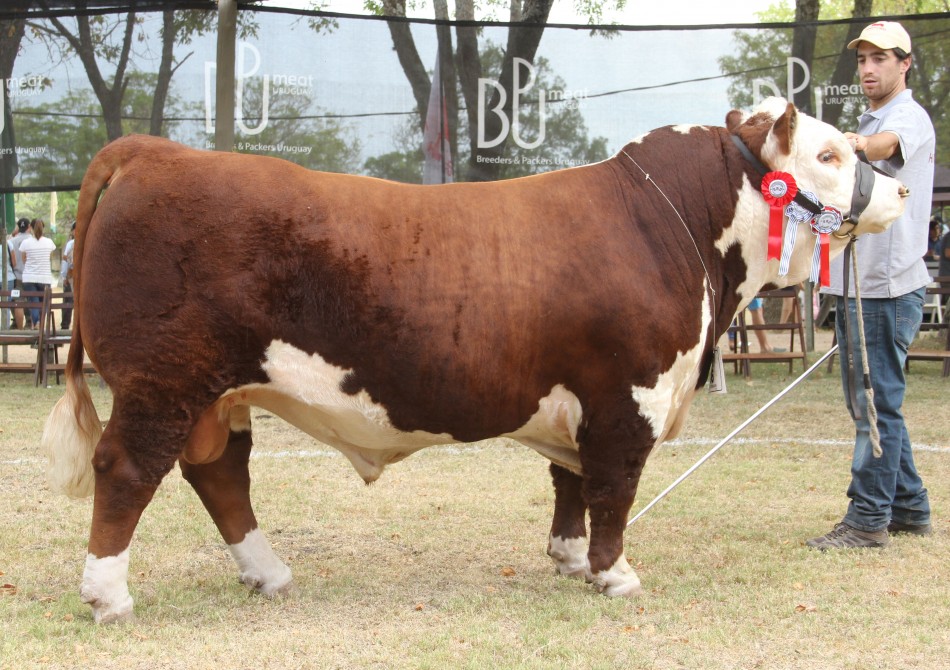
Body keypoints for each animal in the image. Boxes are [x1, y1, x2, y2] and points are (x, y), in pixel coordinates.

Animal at [42, 97, 906, 623]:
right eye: (830, 153)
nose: (897, 185)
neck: (675, 226)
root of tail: (152, 151)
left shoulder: (580, 395)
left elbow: (572, 480)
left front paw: (567, 559)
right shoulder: (628, 394)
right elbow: (615, 488)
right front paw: (614, 574)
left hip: (218, 393)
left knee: (220, 473)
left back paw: (270, 572)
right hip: (164, 381)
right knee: (129, 469)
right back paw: (108, 595)